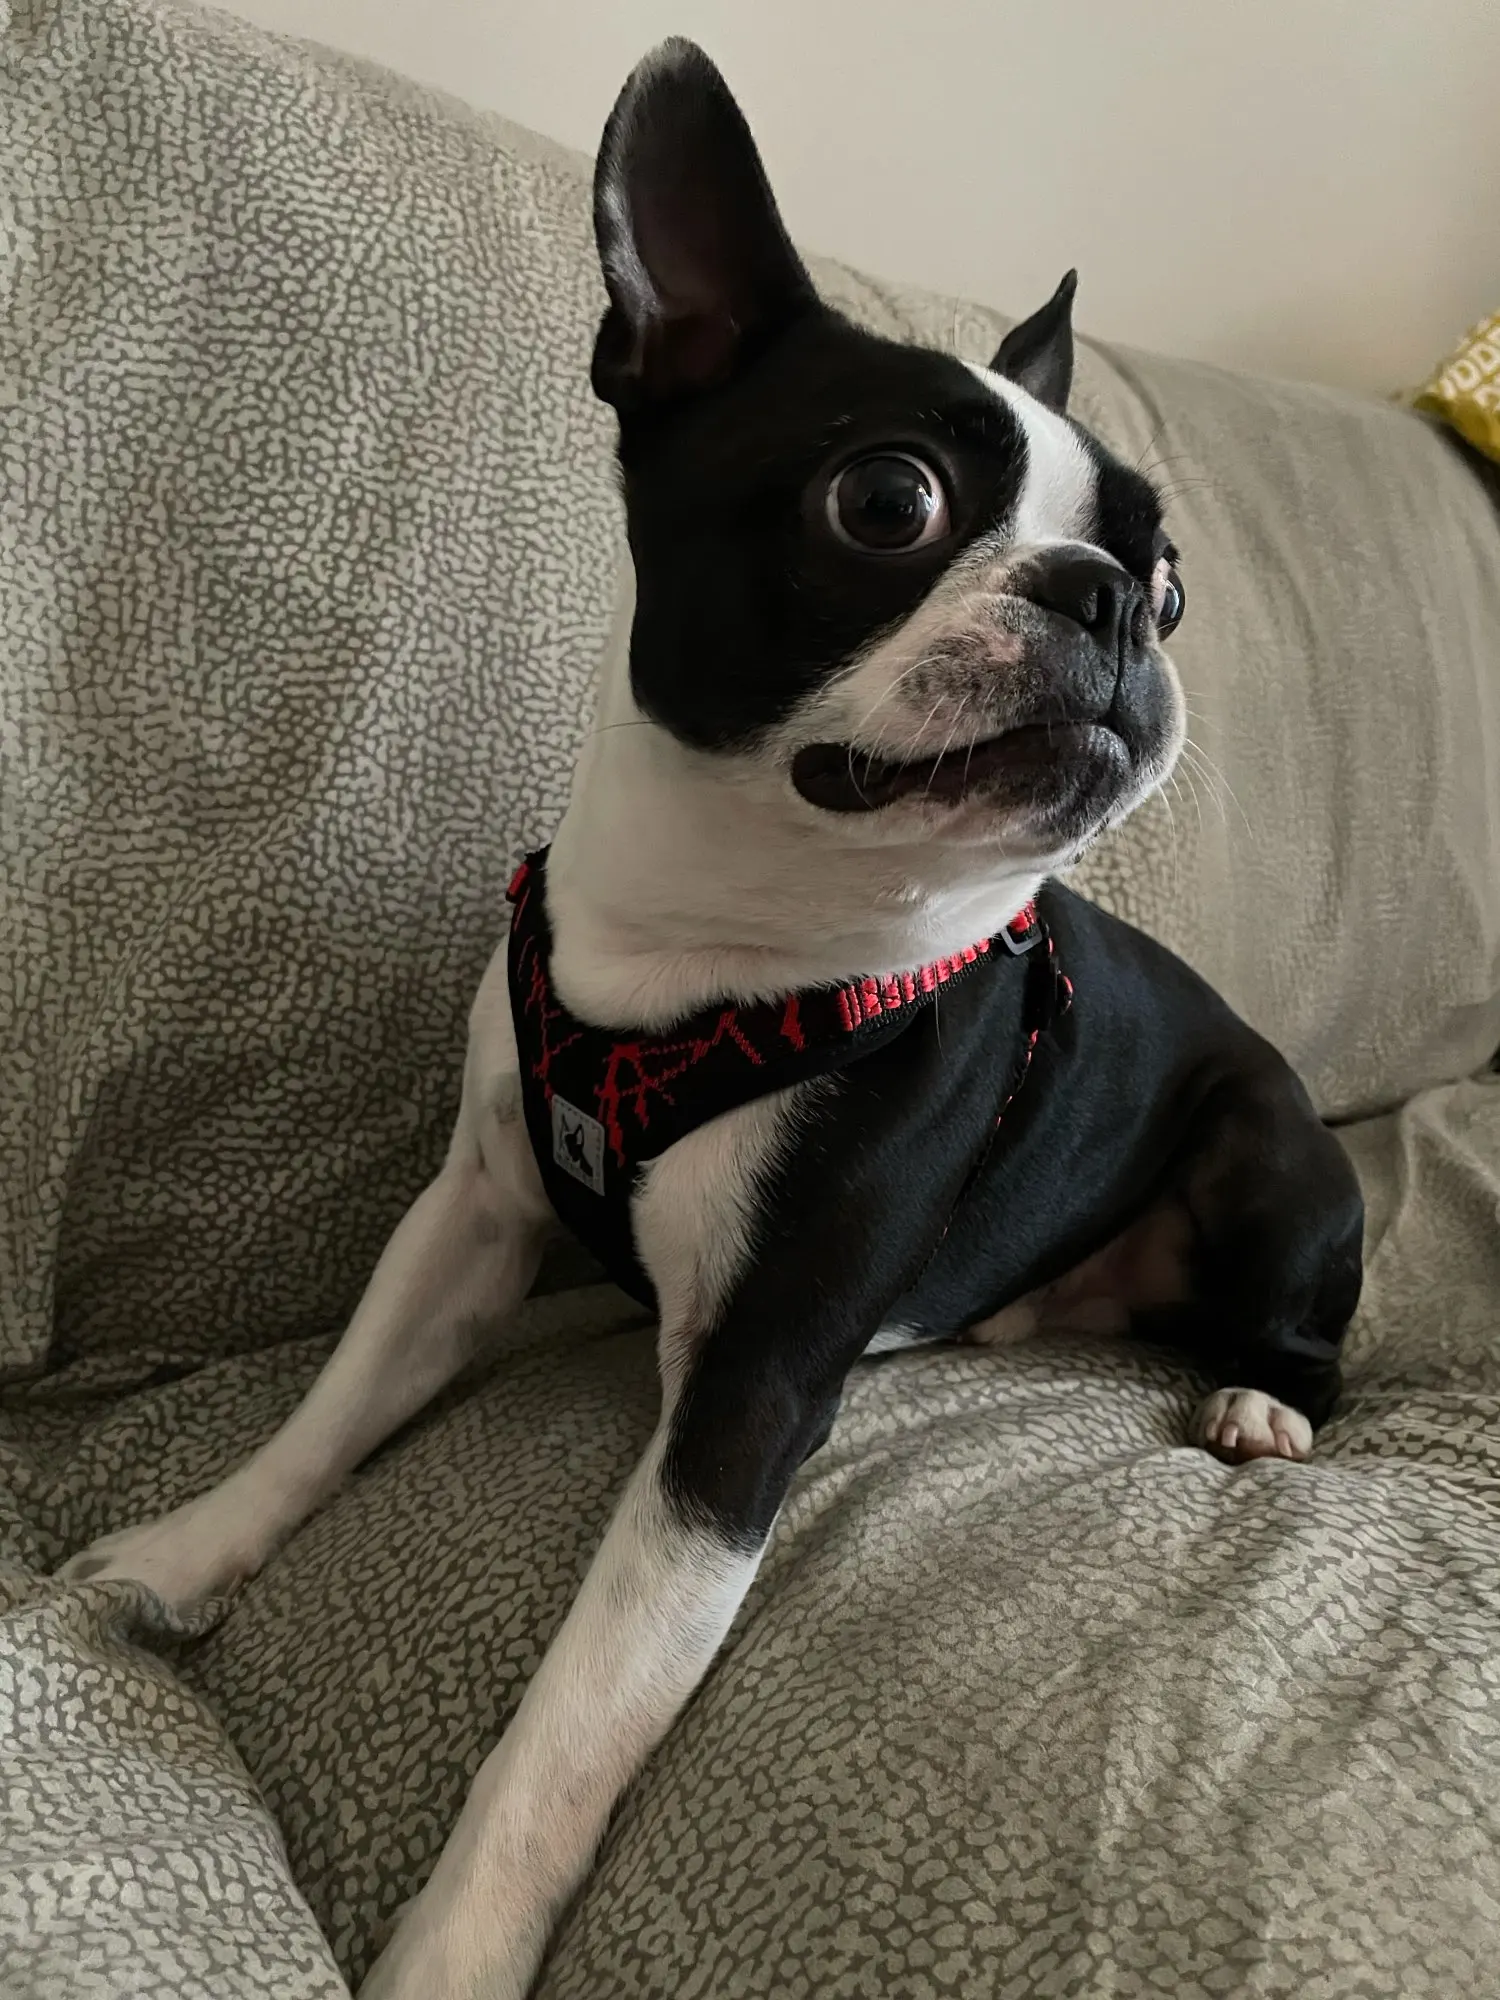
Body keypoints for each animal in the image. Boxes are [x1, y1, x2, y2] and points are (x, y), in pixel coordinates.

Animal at [62, 39, 1364, 2000]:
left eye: (1179, 579)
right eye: (888, 501)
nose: (1120, 603)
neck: (719, 943)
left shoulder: (743, 1402)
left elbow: (567, 1732)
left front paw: (453, 1950)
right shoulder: (471, 1218)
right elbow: (329, 1411)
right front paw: (192, 1543)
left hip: (1267, 1152)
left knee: (1312, 1336)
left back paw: (1258, 1406)